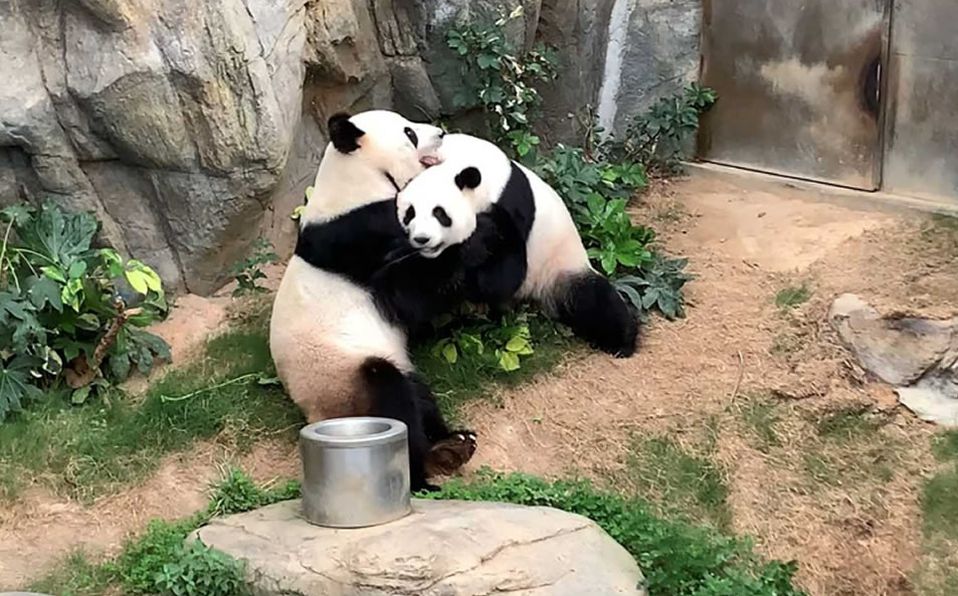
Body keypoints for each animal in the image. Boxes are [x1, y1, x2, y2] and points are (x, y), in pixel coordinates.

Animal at [269, 110, 476, 492]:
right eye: (410, 133)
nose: (440, 133)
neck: (357, 178)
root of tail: (314, 414)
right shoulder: (361, 235)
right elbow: (407, 292)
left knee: (419, 394)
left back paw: (451, 445)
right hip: (342, 376)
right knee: (392, 397)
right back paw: (421, 472)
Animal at [395, 133, 639, 357]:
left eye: (440, 214)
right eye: (410, 214)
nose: (422, 239)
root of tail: (533, 297)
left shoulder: (511, 206)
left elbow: (504, 276)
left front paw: (471, 251)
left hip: (560, 267)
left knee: (593, 301)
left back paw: (621, 343)